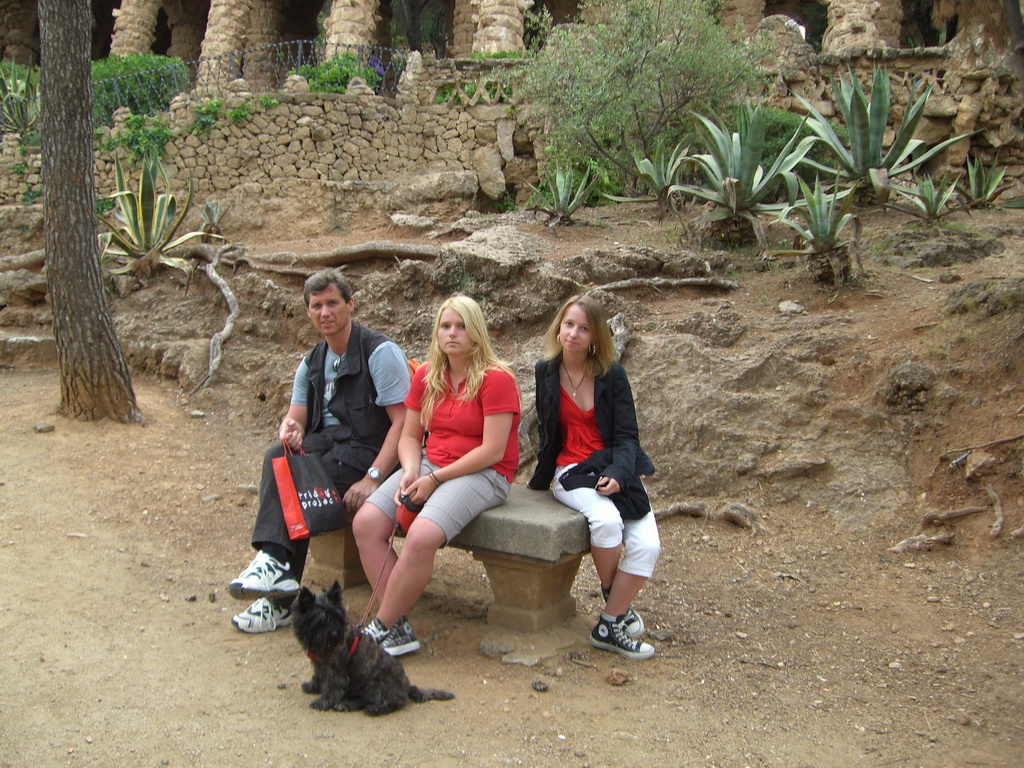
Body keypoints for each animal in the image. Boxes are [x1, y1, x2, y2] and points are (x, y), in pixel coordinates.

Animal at [292, 581, 454, 715]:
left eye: (337, 617)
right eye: (322, 619)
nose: (335, 633)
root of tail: (407, 688)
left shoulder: (335, 670)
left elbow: (331, 687)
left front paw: (322, 702)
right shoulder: (320, 664)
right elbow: (317, 677)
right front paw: (312, 687)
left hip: (374, 682)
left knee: (390, 702)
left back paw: (374, 708)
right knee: (363, 700)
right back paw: (346, 705)